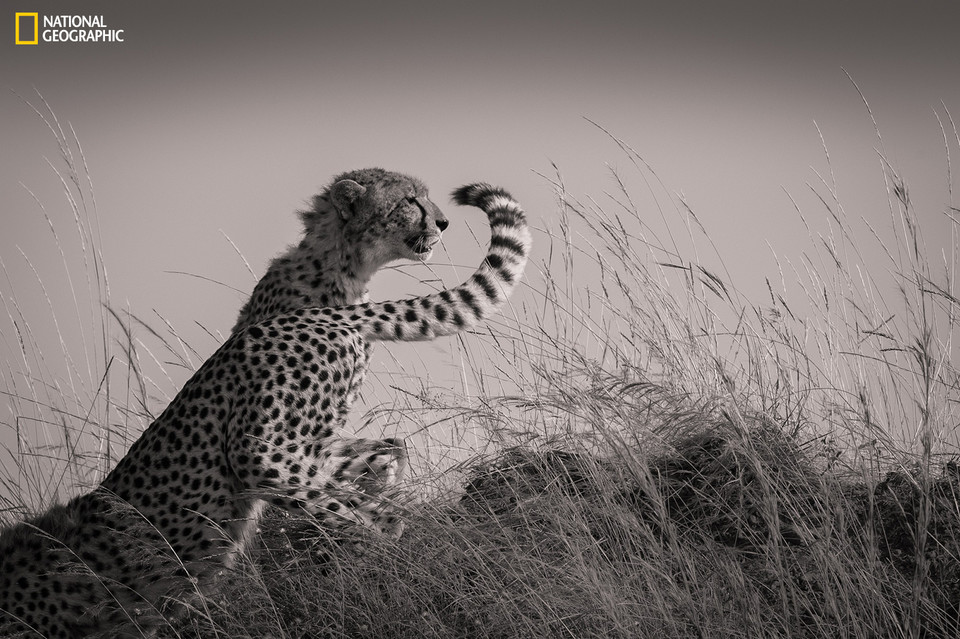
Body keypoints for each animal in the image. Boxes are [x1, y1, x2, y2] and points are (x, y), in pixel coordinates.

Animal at [0, 181, 528, 639]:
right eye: (409, 200)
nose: (439, 221)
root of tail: (311, 316)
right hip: (303, 440)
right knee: (385, 455)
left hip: (261, 454)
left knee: (374, 514)